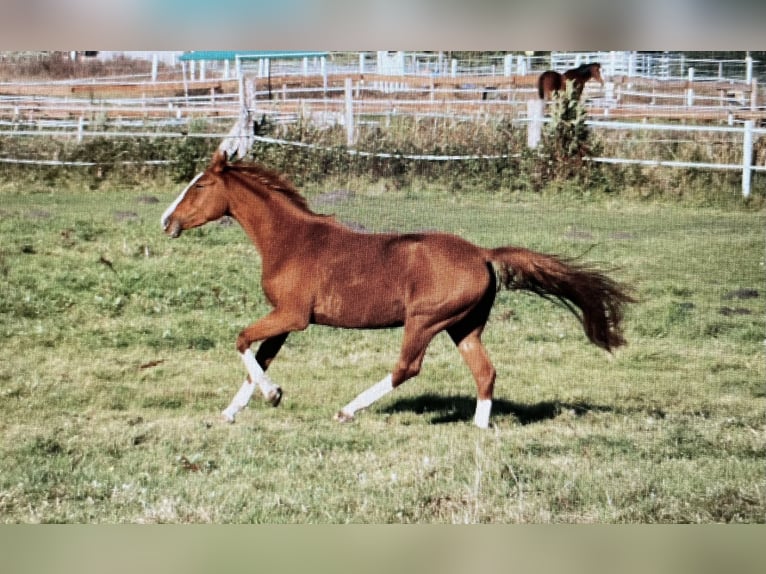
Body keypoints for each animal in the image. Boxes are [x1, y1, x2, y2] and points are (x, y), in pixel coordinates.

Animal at [161, 150, 633, 428]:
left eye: (200, 185)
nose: (167, 222)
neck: (290, 240)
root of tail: (482, 253)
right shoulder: (286, 319)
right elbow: (257, 358)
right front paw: (232, 411)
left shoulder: (292, 316)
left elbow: (242, 341)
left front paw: (273, 395)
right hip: (463, 327)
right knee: (485, 372)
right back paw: (479, 428)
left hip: (424, 321)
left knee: (407, 368)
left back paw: (347, 410)